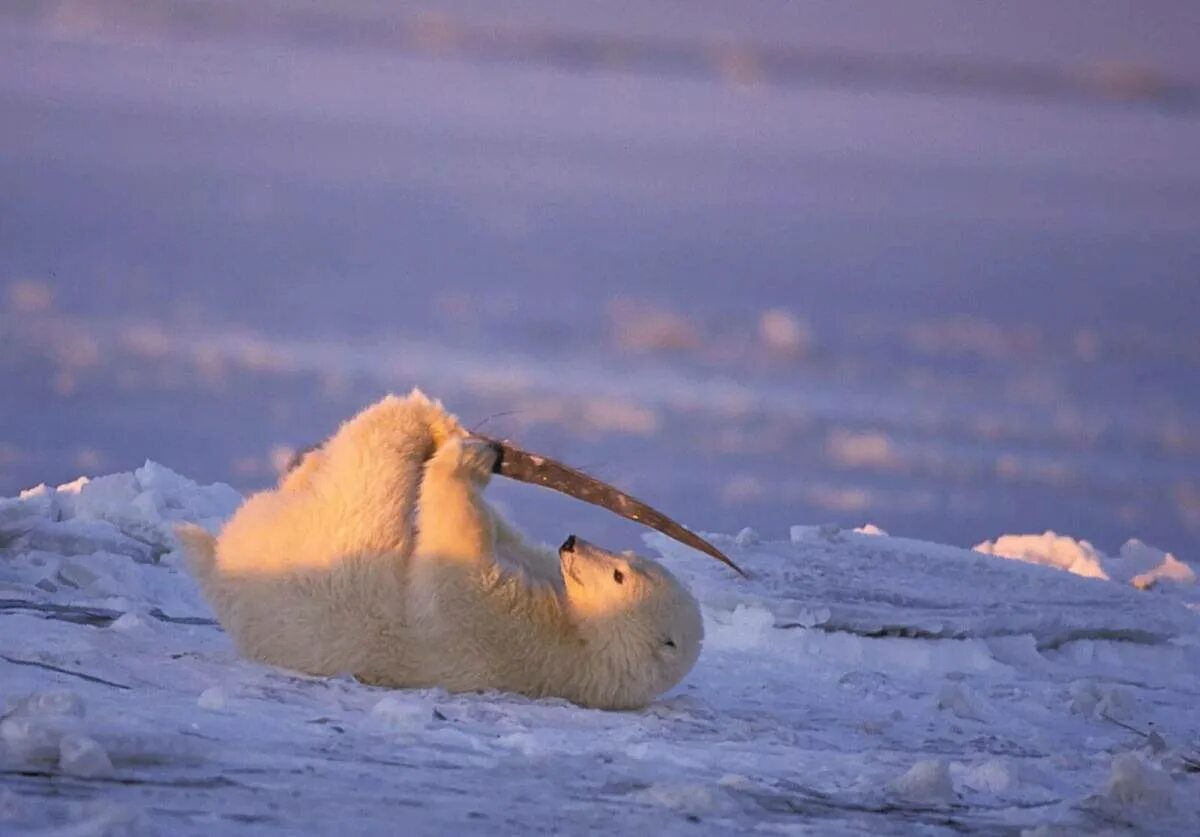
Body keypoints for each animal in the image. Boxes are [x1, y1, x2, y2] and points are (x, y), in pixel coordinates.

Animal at [176, 388, 700, 705]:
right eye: (626, 560)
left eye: (618, 575)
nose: (571, 543)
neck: (588, 644)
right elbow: (505, 540)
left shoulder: (512, 634)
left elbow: (457, 563)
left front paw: (471, 456)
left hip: (336, 544)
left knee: (371, 463)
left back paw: (416, 416)